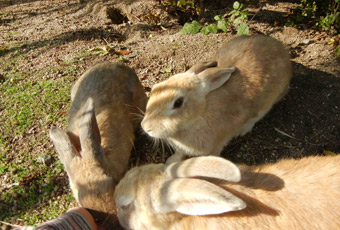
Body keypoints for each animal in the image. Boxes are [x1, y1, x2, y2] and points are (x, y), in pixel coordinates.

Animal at [141, 35, 292, 163]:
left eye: (178, 103)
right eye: (155, 88)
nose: (146, 127)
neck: (199, 114)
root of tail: (281, 48)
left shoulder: (213, 147)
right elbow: (179, 153)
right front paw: (171, 161)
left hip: (268, 101)